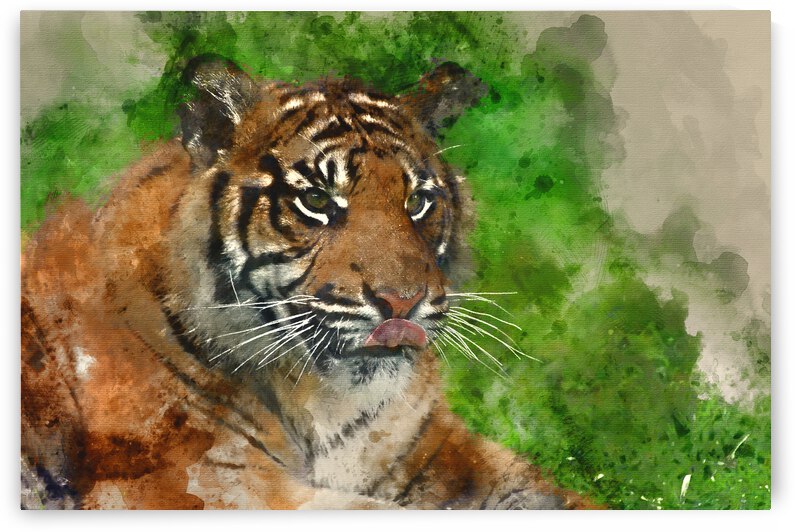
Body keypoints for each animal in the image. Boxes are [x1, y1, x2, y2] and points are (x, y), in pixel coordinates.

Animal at [21, 56, 598, 510]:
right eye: (317, 200)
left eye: (417, 201)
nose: (402, 302)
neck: (329, 397)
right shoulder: (199, 482)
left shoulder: (438, 446)